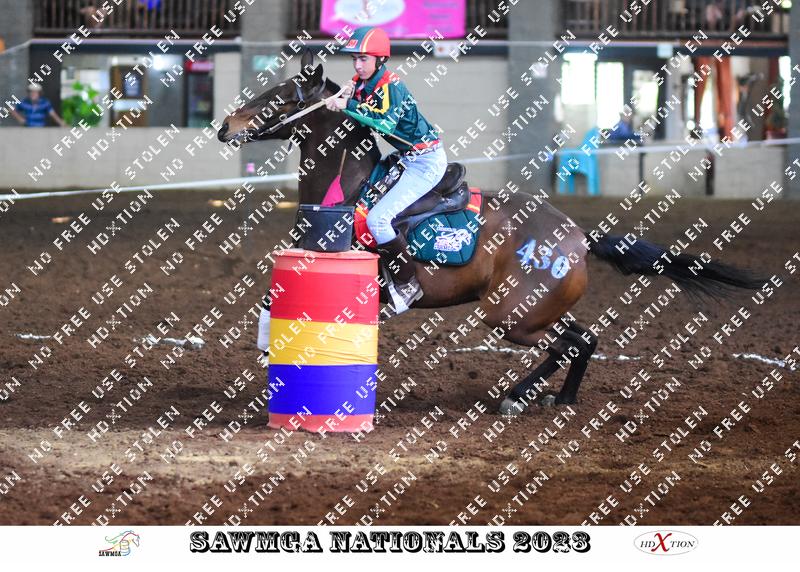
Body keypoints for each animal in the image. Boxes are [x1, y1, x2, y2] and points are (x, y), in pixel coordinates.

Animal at [218, 50, 762, 416]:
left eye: (279, 97)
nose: (225, 126)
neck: (348, 190)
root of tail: (579, 237)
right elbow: (270, 306)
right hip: (536, 309)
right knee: (584, 339)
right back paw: (561, 399)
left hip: (510, 317)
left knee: (566, 345)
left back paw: (517, 397)